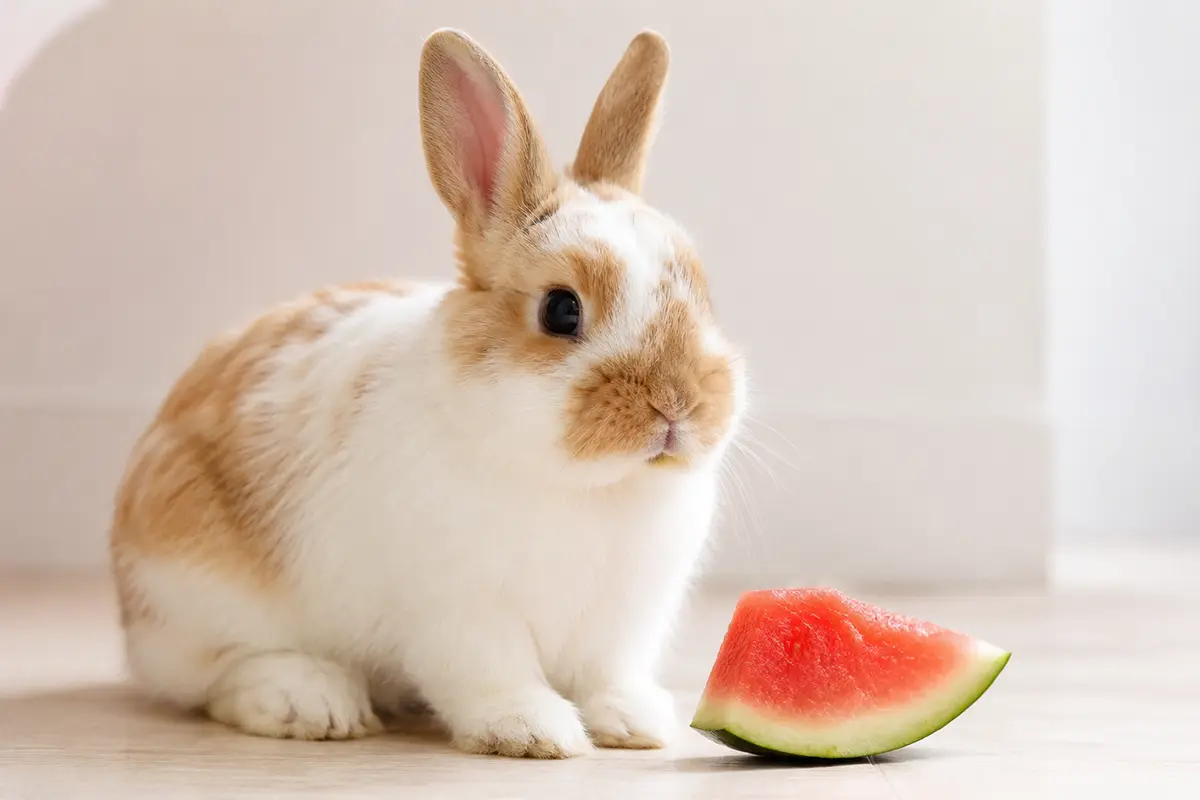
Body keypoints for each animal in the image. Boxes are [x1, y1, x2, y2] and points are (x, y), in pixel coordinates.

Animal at [109, 28, 747, 759]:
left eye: (702, 293)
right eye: (561, 310)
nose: (677, 405)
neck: (594, 488)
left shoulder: (621, 622)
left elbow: (607, 675)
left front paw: (637, 725)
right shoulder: (461, 609)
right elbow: (495, 672)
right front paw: (534, 732)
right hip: (198, 589)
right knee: (218, 674)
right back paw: (314, 703)